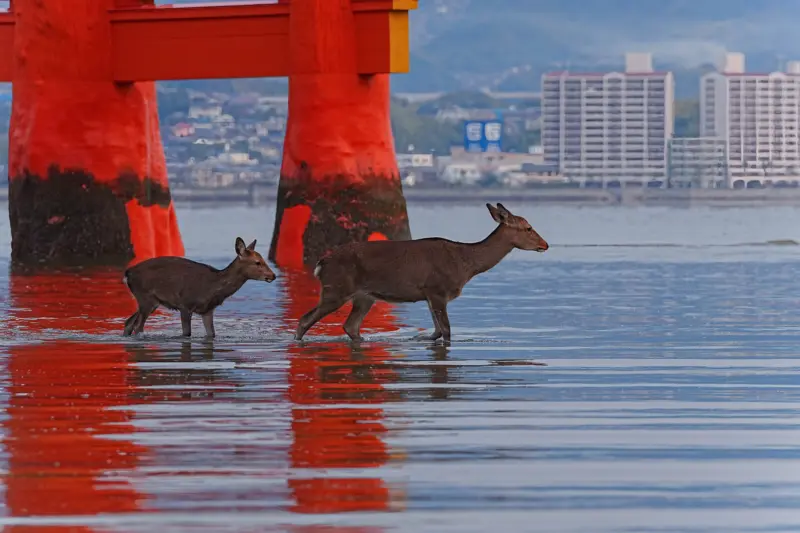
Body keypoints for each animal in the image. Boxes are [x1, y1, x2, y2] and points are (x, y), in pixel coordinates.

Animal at [121, 237, 276, 336]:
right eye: (257, 262)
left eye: (263, 260)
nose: (273, 275)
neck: (212, 286)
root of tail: (128, 273)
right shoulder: (185, 304)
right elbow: (187, 334)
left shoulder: (208, 310)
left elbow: (211, 334)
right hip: (145, 298)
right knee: (138, 328)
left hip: (151, 302)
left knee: (129, 323)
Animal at [296, 202, 552, 342]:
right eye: (528, 228)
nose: (546, 244)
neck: (466, 264)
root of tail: (321, 263)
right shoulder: (438, 289)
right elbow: (446, 331)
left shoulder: (429, 294)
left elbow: (436, 332)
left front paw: (416, 337)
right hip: (336, 288)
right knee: (305, 319)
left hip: (364, 296)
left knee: (351, 326)